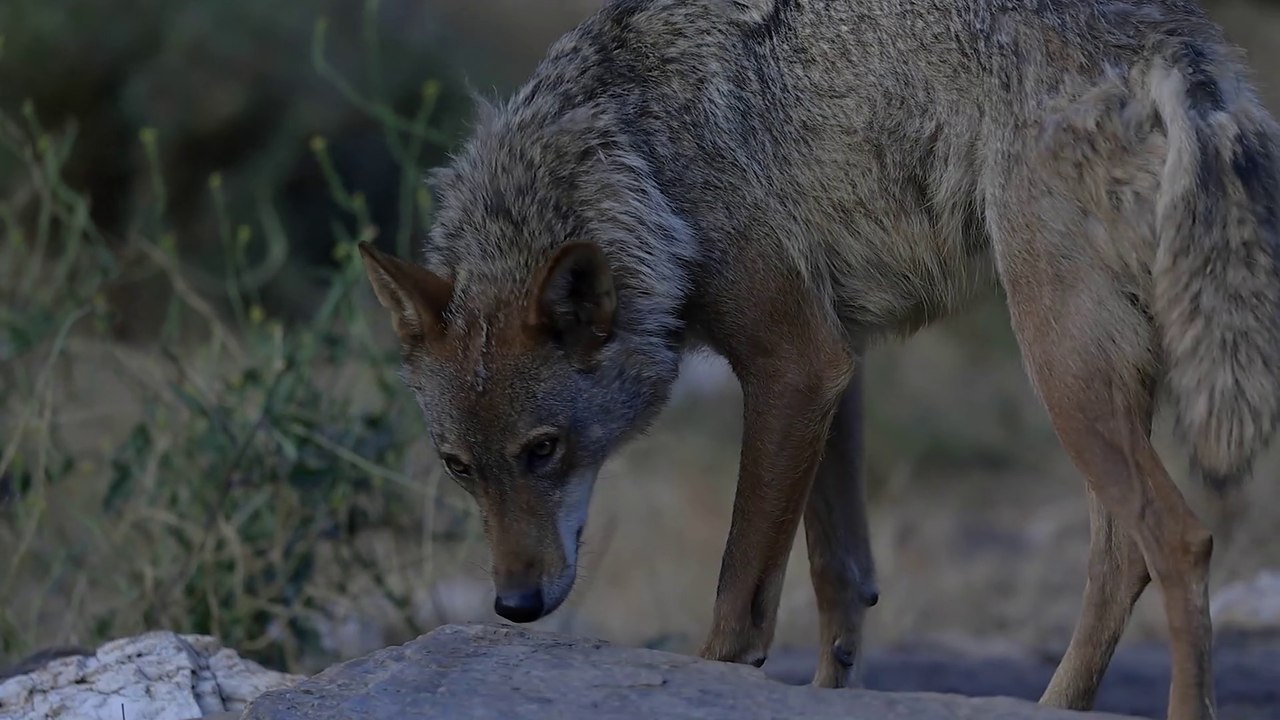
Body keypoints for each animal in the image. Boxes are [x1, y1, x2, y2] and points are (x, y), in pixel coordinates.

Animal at [357, 1, 1280, 717]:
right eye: (459, 466)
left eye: (543, 451)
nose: (514, 607)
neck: (638, 156)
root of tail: (1173, 45)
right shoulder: (840, 363)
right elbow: (840, 576)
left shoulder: (795, 365)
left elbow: (738, 593)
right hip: (1094, 378)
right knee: (1121, 556)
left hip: (1060, 368)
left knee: (1180, 540)